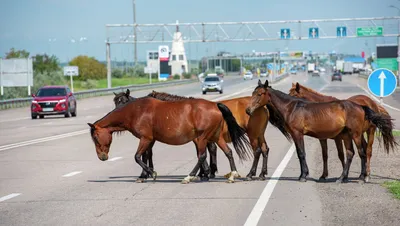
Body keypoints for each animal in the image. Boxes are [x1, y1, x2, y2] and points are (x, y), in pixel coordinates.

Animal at [89, 95, 253, 184]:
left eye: (95, 137)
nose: (102, 157)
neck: (136, 111)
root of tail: (215, 105)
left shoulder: (145, 138)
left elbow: (137, 157)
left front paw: (151, 173)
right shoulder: (150, 140)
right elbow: (145, 156)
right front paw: (144, 175)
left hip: (201, 138)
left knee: (202, 156)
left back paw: (189, 177)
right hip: (216, 137)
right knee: (228, 152)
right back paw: (232, 175)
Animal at [245, 79, 396, 184]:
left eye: (260, 94)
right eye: (252, 93)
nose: (248, 110)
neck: (292, 108)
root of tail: (362, 106)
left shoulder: (298, 134)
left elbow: (301, 153)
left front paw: (303, 176)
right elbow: (310, 154)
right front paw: (308, 174)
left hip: (357, 134)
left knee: (363, 152)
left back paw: (362, 178)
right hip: (348, 136)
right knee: (350, 153)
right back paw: (342, 178)